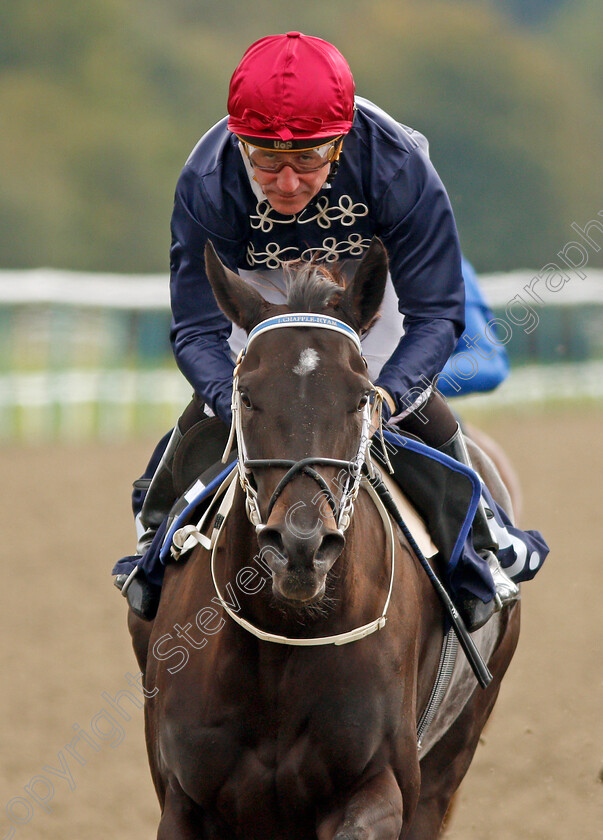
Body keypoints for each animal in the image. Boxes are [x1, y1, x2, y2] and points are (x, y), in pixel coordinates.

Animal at [130, 240, 520, 836]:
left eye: (361, 398)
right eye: (246, 396)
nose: (301, 547)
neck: (282, 640)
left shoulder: (378, 785)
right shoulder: (184, 799)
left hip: (452, 754)